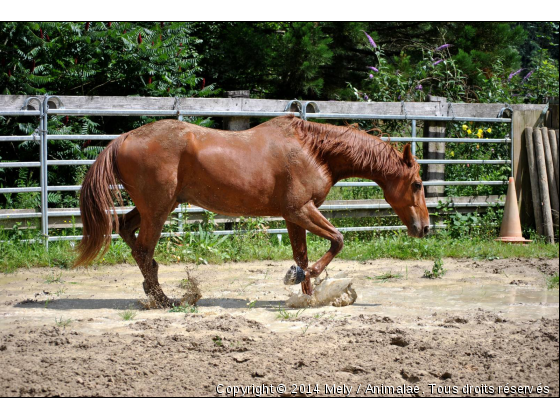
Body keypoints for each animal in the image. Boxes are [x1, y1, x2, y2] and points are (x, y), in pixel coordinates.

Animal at [74, 115, 430, 306]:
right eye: (416, 183)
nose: (425, 228)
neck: (313, 152)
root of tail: (122, 138)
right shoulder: (301, 210)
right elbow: (337, 240)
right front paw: (300, 279)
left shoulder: (293, 216)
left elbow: (303, 256)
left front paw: (307, 296)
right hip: (158, 209)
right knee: (143, 250)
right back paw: (166, 300)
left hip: (156, 207)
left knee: (127, 231)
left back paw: (154, 290)